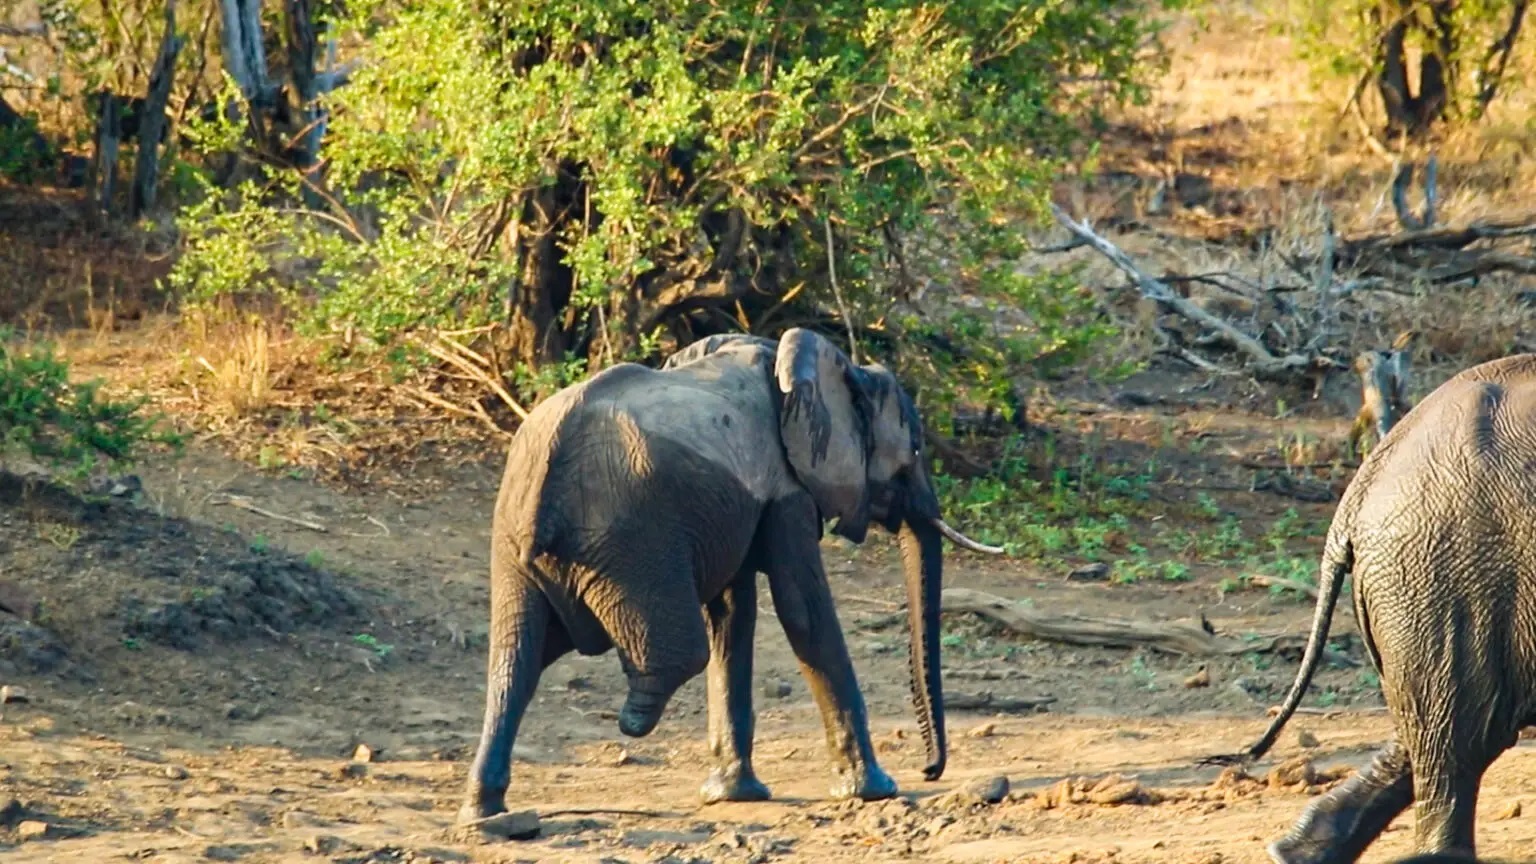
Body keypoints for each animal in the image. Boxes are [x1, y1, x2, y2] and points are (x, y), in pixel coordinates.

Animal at [454, 325, 1007, 824]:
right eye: (913, 451)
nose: (930, 770)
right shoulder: (787, 492)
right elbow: (802, 613)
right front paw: (875, 790)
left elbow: (733, 613)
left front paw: (733, 796)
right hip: (633, 537)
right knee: (676, 652)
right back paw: (633, 718)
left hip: (516, 543)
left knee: (515, 659)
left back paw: (484, 813)